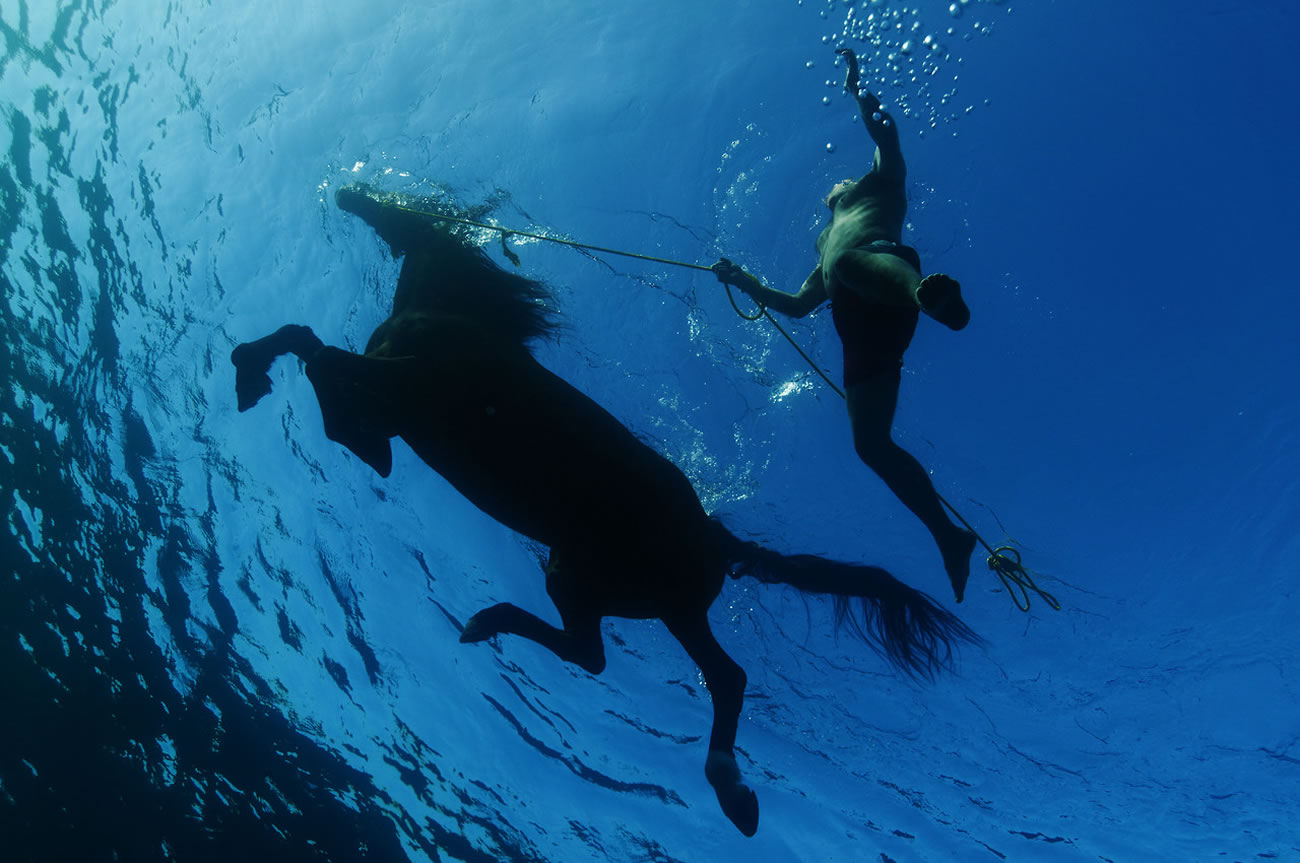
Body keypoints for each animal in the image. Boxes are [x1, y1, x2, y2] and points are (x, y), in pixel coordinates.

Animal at [230, 184, 982, 836]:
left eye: (403, 204)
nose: (346, 194)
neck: (450, 319)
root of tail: (720, 539)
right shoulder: (387, 396)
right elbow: (319, 365)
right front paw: (258, 379)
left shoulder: (390, 386)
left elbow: (317, 361)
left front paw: (250, 374)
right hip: (635, 593)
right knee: (677, 668)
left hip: (612, 583)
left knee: (641, 663)